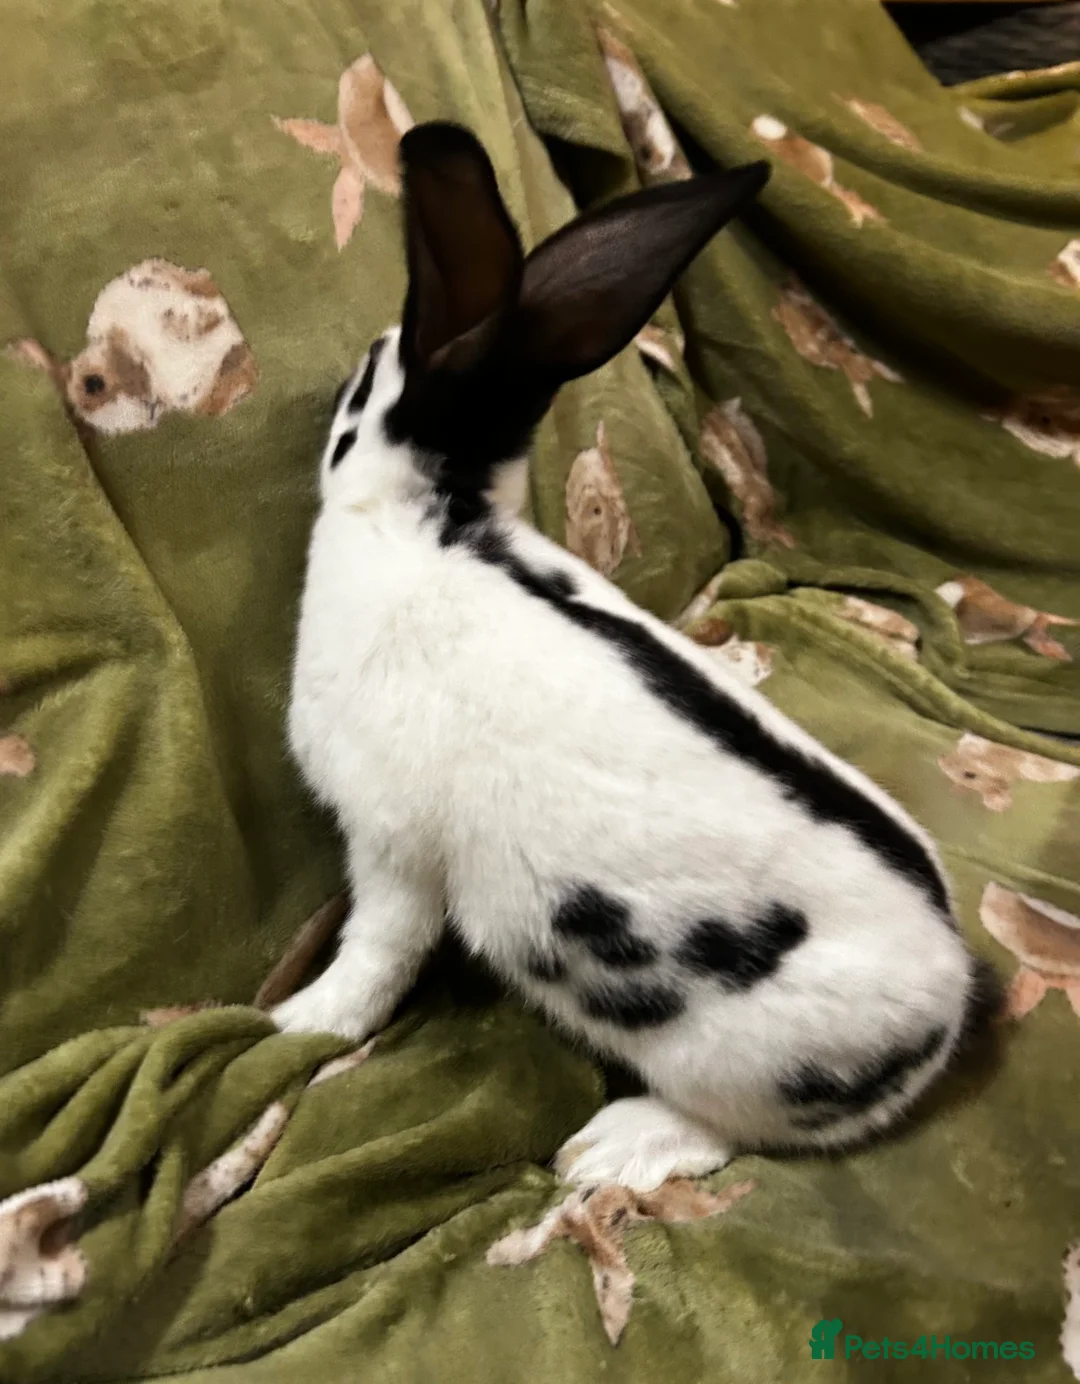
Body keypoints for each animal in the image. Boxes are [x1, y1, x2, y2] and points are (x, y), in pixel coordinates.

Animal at [274, 121, 996, 1190]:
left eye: (359, 389)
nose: (321, 393)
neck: (433, 520)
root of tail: (949, 1015)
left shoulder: (391, 843)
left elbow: (377, 951)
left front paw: (300, 1022)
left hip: (724, 1061)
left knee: (745, 1134)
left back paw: (609, 1151)